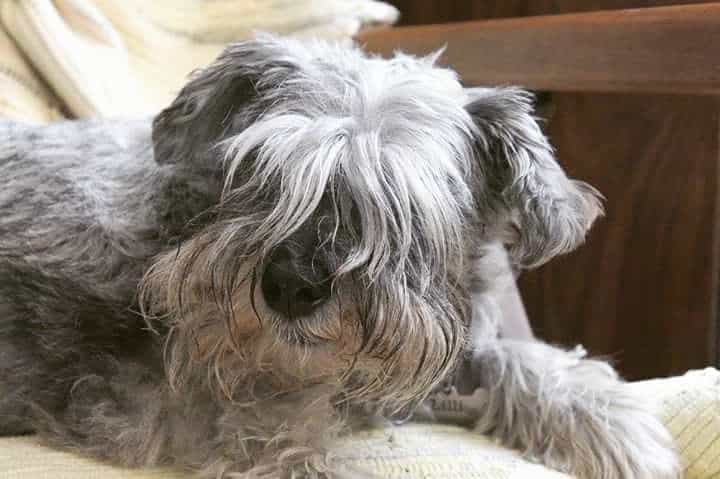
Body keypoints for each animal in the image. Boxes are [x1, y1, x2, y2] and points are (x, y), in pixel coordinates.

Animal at [0, 35, 680, 478]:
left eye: (403, 204)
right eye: (260, 169)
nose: (291, 287)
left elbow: (506, 356)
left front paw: (609, 422)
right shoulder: (176, 403)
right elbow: (283, 439)